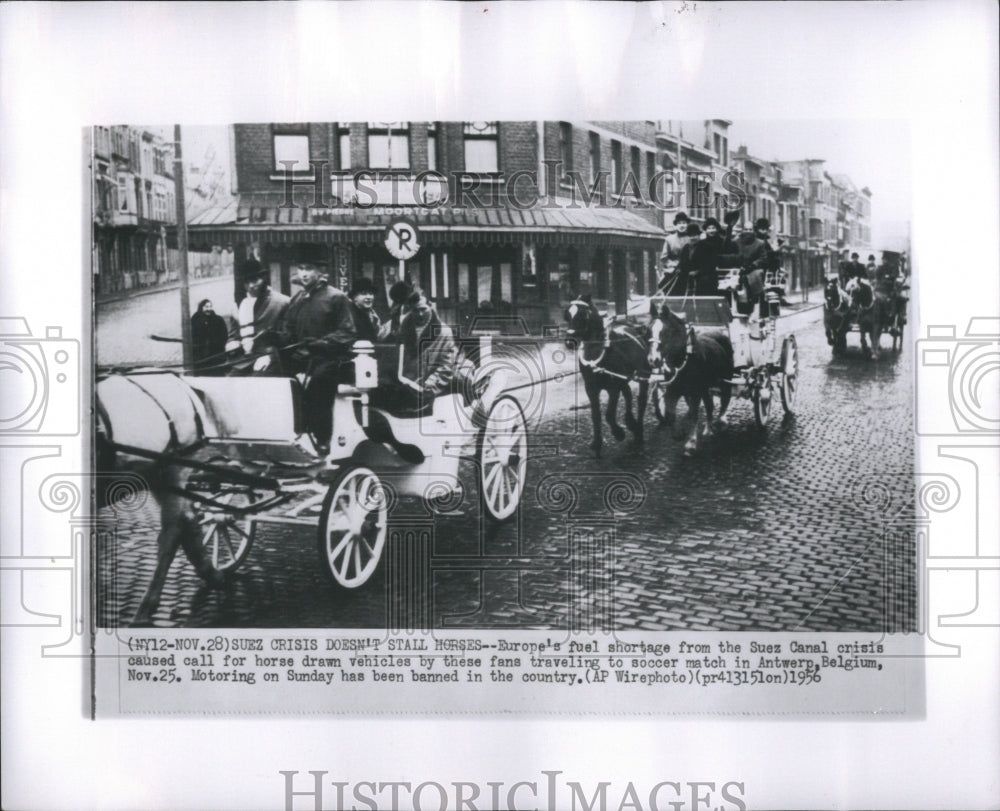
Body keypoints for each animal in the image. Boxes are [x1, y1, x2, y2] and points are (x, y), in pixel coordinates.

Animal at [568, 296, 652, 456]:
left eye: (582, 315)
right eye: (567, 315)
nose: (570, 342)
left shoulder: (613, 387)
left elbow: (609, 414)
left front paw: (618, 433)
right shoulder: (591, 388)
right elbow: (595, 415)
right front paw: (597, 442)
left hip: (642, 375)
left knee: (641, 400)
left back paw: (638, 430)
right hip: (623, 379)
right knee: (627, 394)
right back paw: (631, 422)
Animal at [648, 304, 736, 456]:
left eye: (666, 332)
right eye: (649, 330)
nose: (653, 360)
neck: (683, 360)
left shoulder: (695, 392)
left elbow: (694, 414)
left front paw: (691, 443)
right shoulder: (673, 390)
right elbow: (670, 414)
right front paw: (678, 434)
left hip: (725, 380)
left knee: (725, 399)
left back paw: (721, 422)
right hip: (705, 387)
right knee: (709, 405)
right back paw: (708, 429)